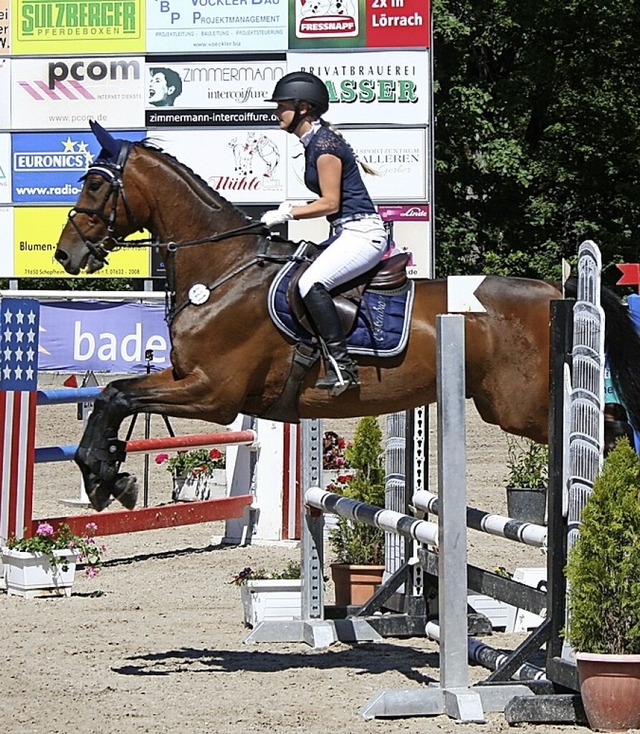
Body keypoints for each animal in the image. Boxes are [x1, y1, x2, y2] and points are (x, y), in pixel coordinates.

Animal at [52, 122, 640, 512]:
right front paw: (106, 476)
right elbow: (113, 395)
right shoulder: (183, 377)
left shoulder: (213, 392)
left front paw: (107, 476)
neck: (222, 270)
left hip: (523, 408)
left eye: (95, 185)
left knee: (608, 431)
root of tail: (555, 290)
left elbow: (118, 396)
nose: (65, 255)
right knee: (612, 428)